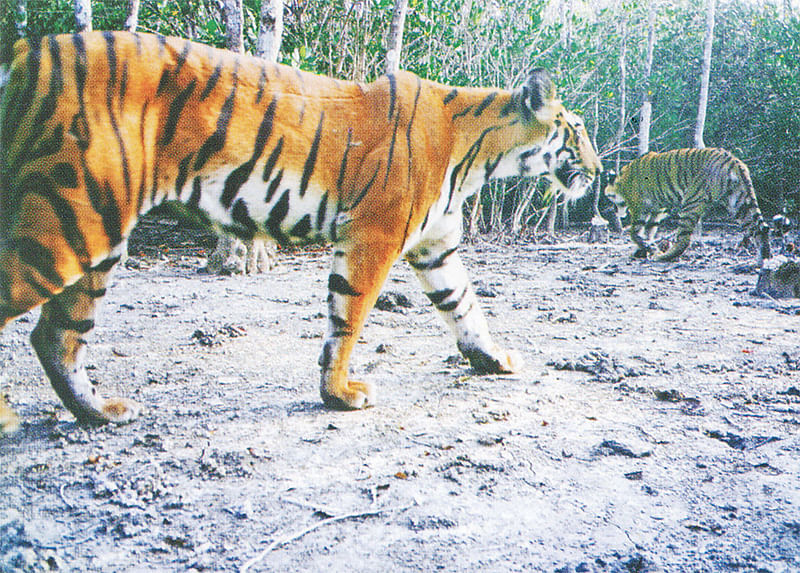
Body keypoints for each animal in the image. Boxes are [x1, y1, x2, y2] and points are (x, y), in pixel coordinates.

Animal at [0, 30, 600, 428]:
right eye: (576, 131)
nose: (598, 172)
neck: (480, 154)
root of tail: (30, 51)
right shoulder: (374, 236)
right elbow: (349, 318)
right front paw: (340, 394)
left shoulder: (435, 247)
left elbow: (465, 306)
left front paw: (494, 360)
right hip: (68, 219)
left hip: (95, 233)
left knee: (57, 335)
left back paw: (100, 412)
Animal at [608, 147, 772, 264]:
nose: (613, 209)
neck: (621, 181)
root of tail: (733, 161)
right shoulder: (657, 211)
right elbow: (649, 232)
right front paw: (644, 250)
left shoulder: (638, 208)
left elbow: (634, 233)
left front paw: (648, 250)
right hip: (739, 202)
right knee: (759, 228)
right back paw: (763, 261)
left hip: (691, 202)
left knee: (684, 240)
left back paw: (663, 257)